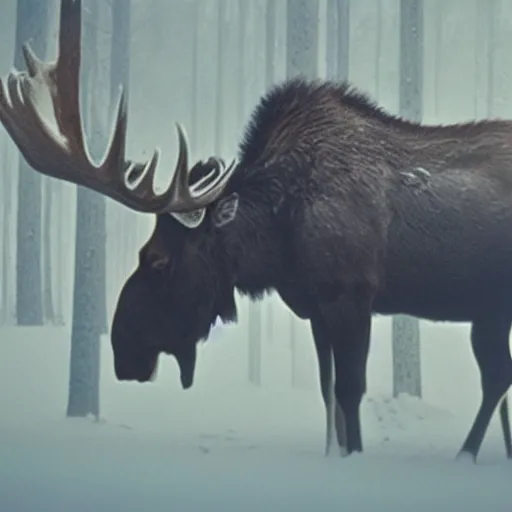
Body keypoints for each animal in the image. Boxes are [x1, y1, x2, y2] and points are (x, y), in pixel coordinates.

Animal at [1, 0, 512, 464]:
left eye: (158, 259)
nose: (122, 350)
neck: (277, 239)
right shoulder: (317, 307)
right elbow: (329, 394)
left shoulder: (351, 293)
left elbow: (350, 392)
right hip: (489, 310)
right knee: (497, 379)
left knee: (495, 379)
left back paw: (466, 455)